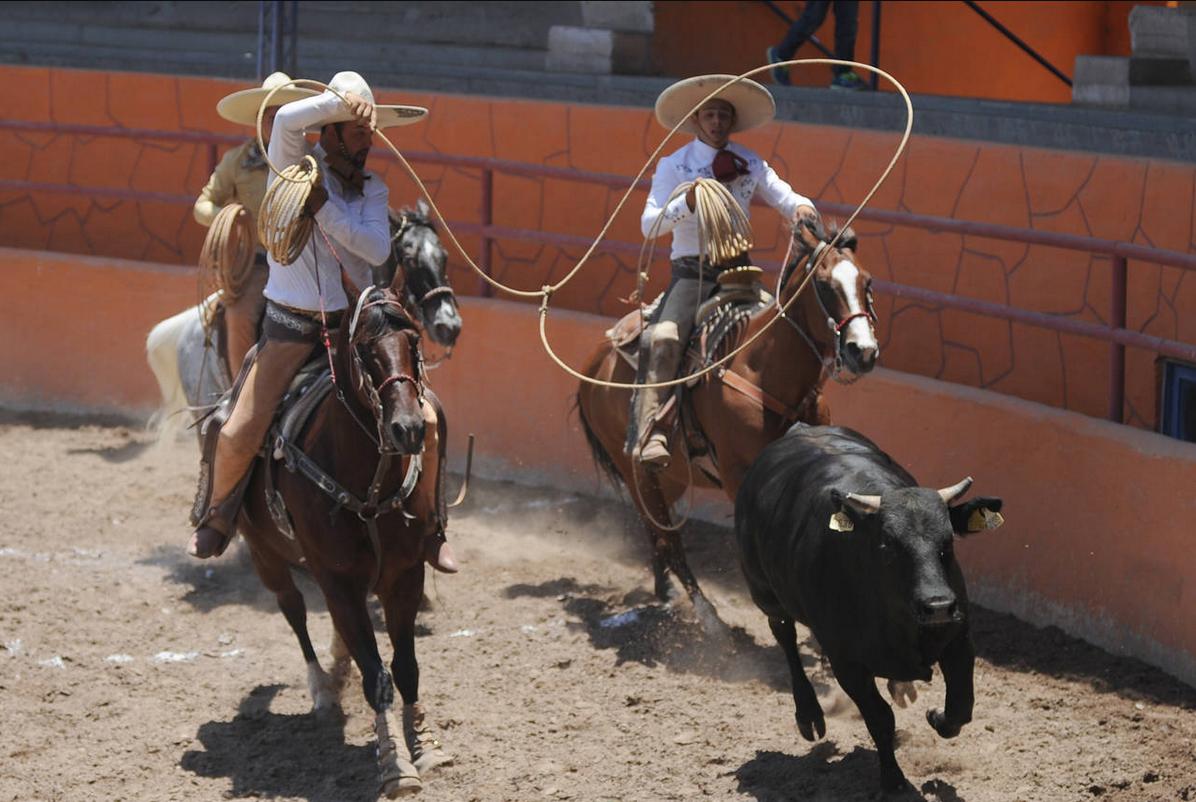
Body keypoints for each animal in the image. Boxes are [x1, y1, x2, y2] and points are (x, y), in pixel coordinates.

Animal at [235, 286, 449, 798]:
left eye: (413, 341)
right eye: (364, 350)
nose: (409, 428)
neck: (368, 483)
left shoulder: (404, 575)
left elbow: (404, 666)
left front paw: (425, 743)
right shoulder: (337, 578)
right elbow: (376, 675)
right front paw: (394, 764)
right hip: (265, 554)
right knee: (293, 610)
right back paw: (321, 689)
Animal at [576, 221, 880, 635]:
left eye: (867, 281)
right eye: (823, 284)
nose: (862, 351)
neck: (763, 369)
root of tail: (594, 363)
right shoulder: (738, 476)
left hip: (669, 478)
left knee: (655, 533)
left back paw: (664, 591)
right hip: (637, 472)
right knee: (669, 540)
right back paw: (710, 619)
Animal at [731, 423, 1004, 793]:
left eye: (947, 542)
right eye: (888, 545)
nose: (938, 606)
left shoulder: (959, 640)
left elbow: (961, 706)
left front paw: (936, 717)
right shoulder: (847, 663)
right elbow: (879, 719)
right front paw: (893, 780)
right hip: (764, 591)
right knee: (784, 635)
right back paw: (809, 714)